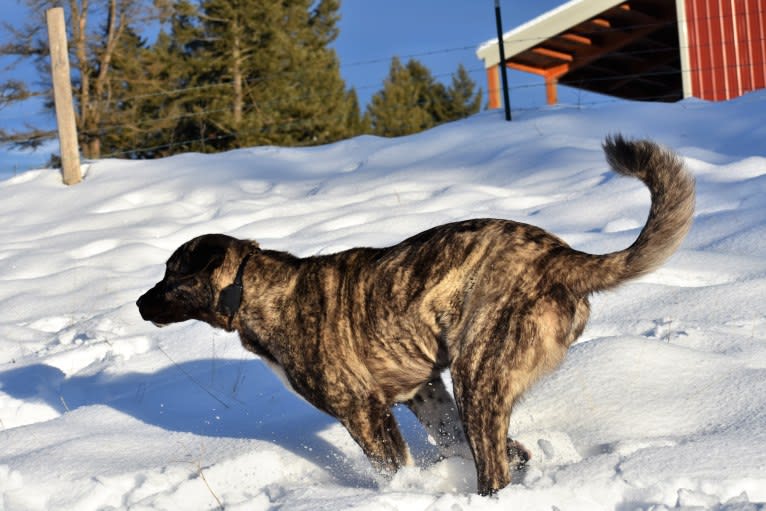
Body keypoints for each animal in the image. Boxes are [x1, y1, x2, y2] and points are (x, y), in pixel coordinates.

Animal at [136, 137, 696, 496]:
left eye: (171, 275)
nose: (140, 304)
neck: (258, 290)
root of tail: (562, 256)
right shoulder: (423, 392)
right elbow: (458, 441)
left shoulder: (363, 410)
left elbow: (394, 466)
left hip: (478, 375)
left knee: (492, 471)